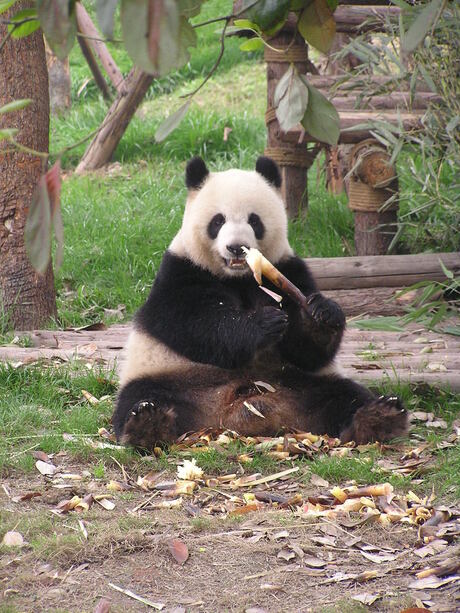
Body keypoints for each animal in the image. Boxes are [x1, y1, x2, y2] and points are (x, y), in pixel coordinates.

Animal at [113, 155, 408, 448]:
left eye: (254, 220)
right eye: (217, 221)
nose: (236, 247)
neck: (238, 277)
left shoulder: (288, 268)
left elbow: (307, 351)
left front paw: (322, 314)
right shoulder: (180, 272)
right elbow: (195, 324)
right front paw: (264, 323)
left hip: (299, 382)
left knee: (344, 395)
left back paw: (380, 415)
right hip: (172, 377)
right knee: (142, 396)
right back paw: (148, 423)